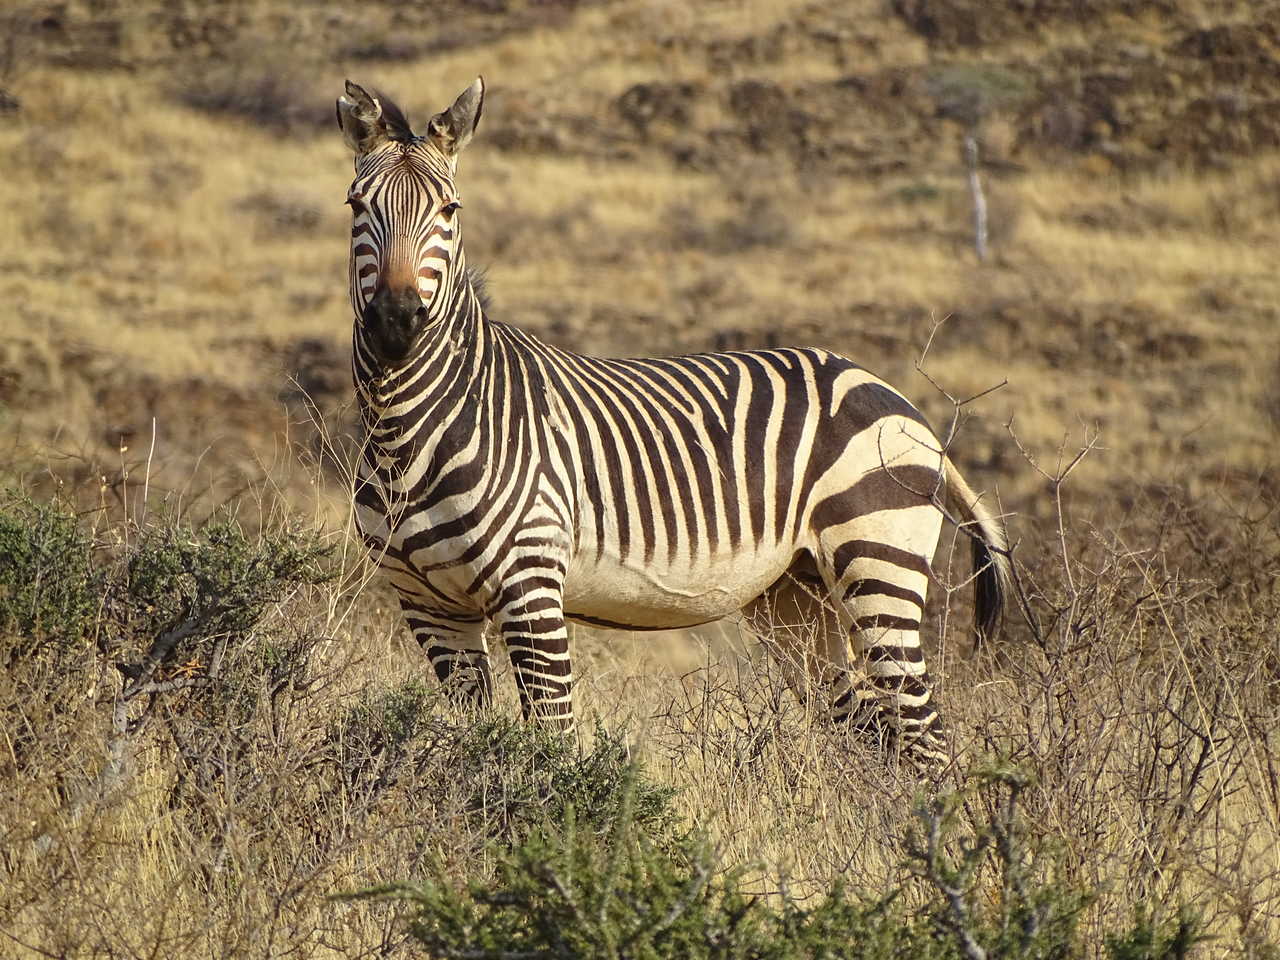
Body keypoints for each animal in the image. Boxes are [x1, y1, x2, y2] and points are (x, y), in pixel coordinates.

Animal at [335, 77, 1013, 768]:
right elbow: (474, 745)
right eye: (356, 206)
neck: (407, 434)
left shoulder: (531, 589)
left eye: (451, 211)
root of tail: (898, 401)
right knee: (877, 737)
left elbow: (550, 744)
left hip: (878, 565)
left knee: (925, 739)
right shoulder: (431, 608)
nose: (396, 323)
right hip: (798, 601)